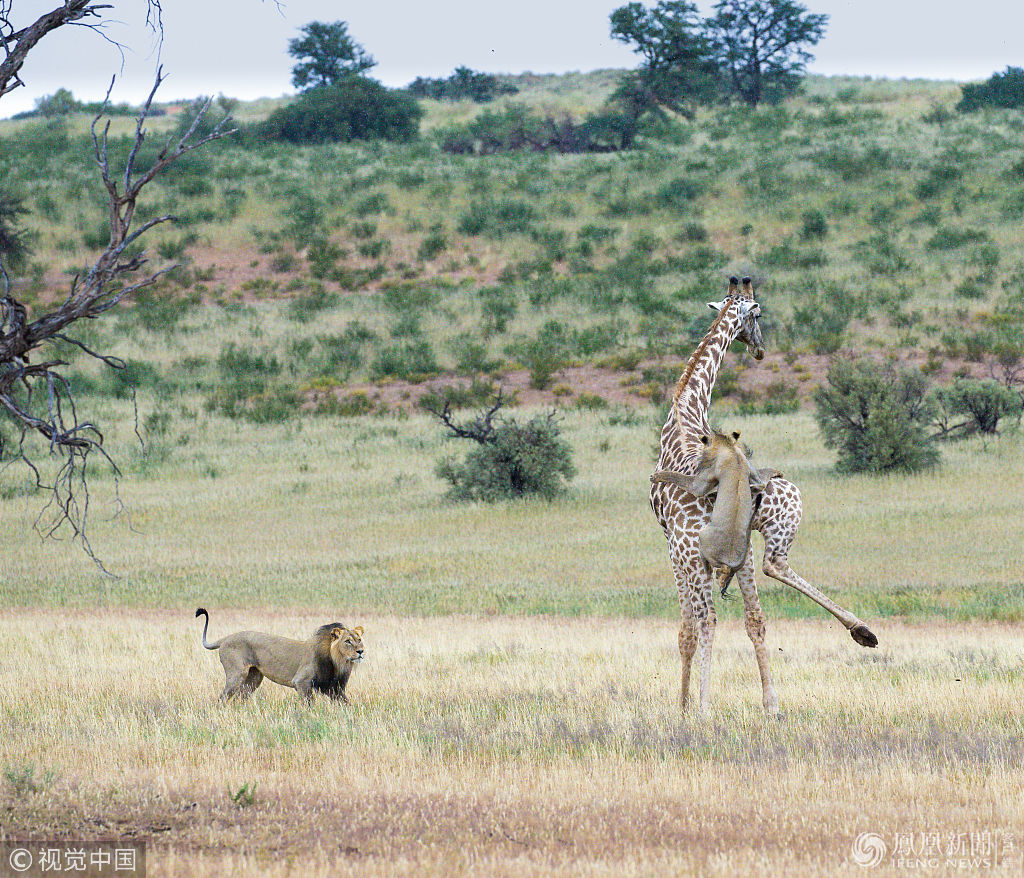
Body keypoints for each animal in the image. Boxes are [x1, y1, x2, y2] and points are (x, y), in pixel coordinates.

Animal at [193, 606, 366, 700]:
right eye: (347, 641)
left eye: (359, 639)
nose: (361, 651)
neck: (338, 662)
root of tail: (226, 638)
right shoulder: (301, 682)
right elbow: (309, 704)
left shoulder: (335, 688)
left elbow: (346, 704)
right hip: (236, 674)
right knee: (222, 698)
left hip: (254, 678)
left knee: (240, 697)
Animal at [651, 276, 876, 717]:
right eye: (758, 317)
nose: (759, 349)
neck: (687, 408)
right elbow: (744, 620)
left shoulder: (673, 549)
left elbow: (687, 630)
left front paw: (684, 706)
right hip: (750, 536)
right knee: (762, 591)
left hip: (714, 546)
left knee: (713, 616)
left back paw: (705, 707)